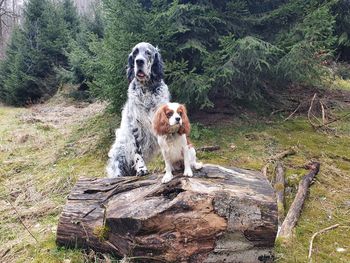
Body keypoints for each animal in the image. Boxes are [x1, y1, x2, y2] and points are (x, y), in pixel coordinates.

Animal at [108, 42, 171, 177]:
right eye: (135, 53)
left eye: (148, 53)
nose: (139, 61)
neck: (146, 88)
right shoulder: (135, 126)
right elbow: (137, 152)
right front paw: (142, 169)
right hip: (119, 154)